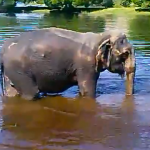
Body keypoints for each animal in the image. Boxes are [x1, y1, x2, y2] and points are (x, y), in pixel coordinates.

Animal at [0, 27, 136, 100]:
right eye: (125, 54)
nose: (128, 96)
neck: (100, 37)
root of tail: (3, 49)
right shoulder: (86, 65)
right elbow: (87, 91)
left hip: (11, 71)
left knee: (11, 91)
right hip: (19, 70)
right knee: (31, 93)